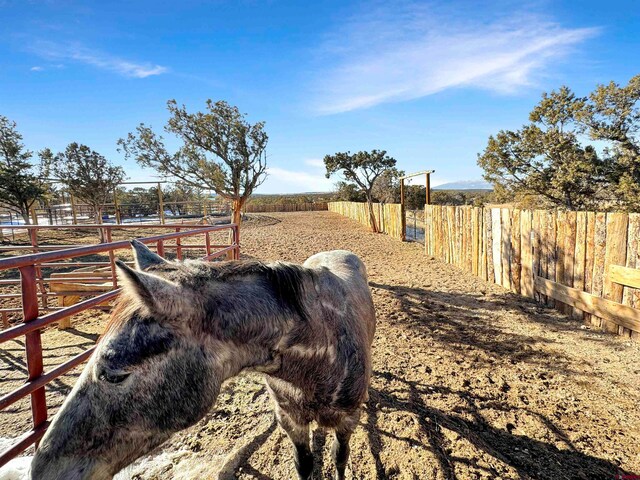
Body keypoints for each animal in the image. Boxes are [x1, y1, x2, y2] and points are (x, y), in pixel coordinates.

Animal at [30, 240, 378, 480]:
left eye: (115, 373)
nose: (42, 469)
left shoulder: (347, 420)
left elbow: (340, 457)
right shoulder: (290, 420)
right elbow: (304, 465)